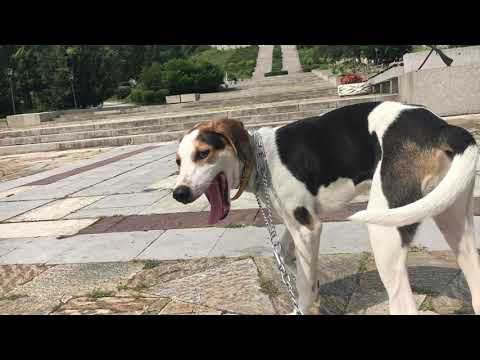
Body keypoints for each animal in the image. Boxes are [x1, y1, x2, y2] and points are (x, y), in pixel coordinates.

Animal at [172, 100, 480, 314]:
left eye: (203, 154)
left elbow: (303, 285)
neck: (260, 159)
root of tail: (442, 127)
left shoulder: (308, 228)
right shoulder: (299, 224)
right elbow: (292, 261)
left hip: (385, 233)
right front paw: (312, 282)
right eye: (177, 162)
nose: (179, 193)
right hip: (452, 218)